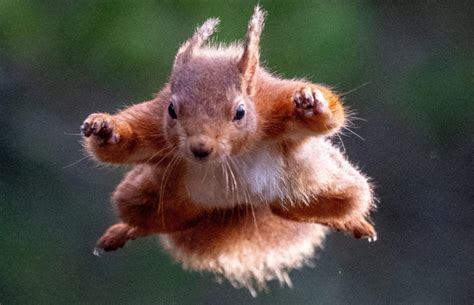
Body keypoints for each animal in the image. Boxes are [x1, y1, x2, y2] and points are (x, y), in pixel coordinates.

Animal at [82, 6, 378, 292]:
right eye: (172, 110)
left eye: (240, 112)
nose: (200, 148)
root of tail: (242, 205)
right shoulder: (155, 124)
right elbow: (117, 150)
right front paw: (105, 129)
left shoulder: (273, 103)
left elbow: (331, 119)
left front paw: (312, 102)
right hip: (150, 194)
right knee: (153, 220)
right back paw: (125, 231)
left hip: (322, 184)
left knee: (331, 206)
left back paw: (353, 224)